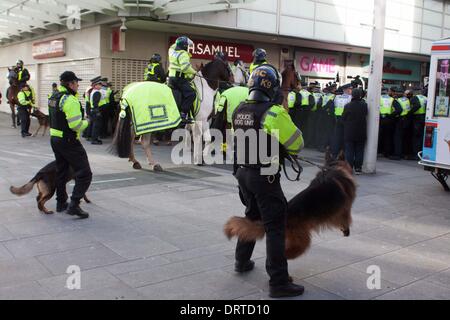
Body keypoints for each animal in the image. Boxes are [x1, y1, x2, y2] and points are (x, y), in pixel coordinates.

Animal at [224, 151, 356, 260]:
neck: (333, 167)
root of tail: (285, 215)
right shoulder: (346, 208)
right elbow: (346, 219)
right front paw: (346, 230)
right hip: (302, 241)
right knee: (286, 254)